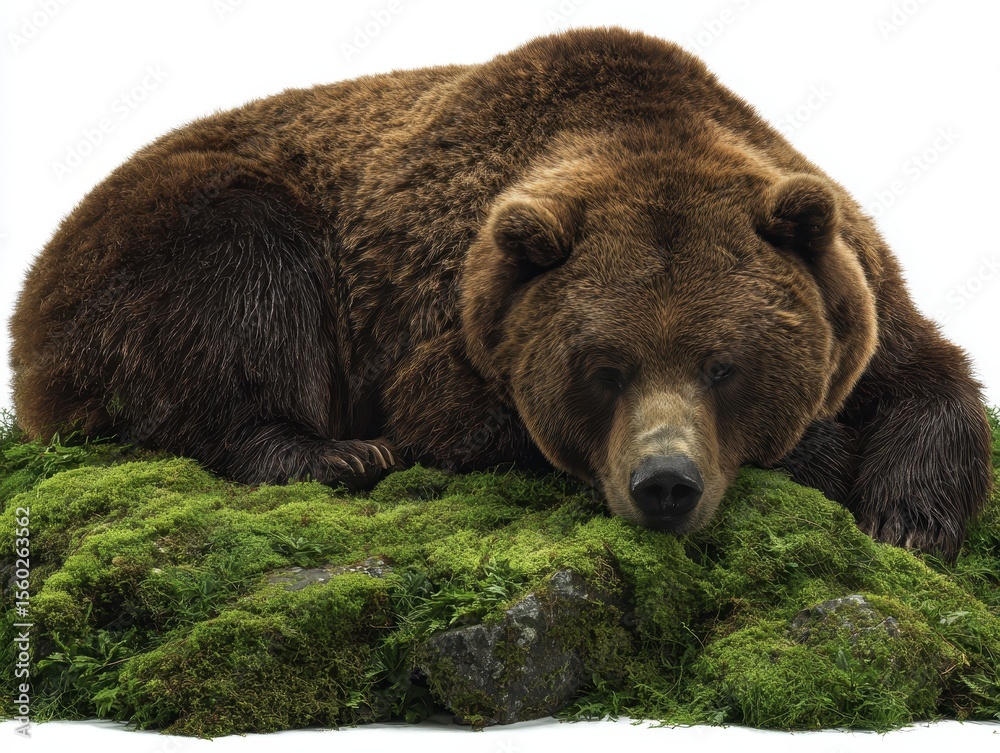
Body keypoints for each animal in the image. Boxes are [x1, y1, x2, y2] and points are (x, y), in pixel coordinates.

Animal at [9, 27, 992, 561]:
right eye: (604, 367)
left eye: (726, 364)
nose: (664, 484)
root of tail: (30, 279)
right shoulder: (445, 318)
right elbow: (462, 417)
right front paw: (825, 455)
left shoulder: (856, 285)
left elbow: (927, 374)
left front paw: (910, 514)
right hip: (175, 234)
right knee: (238, 289)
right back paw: (336, 454)